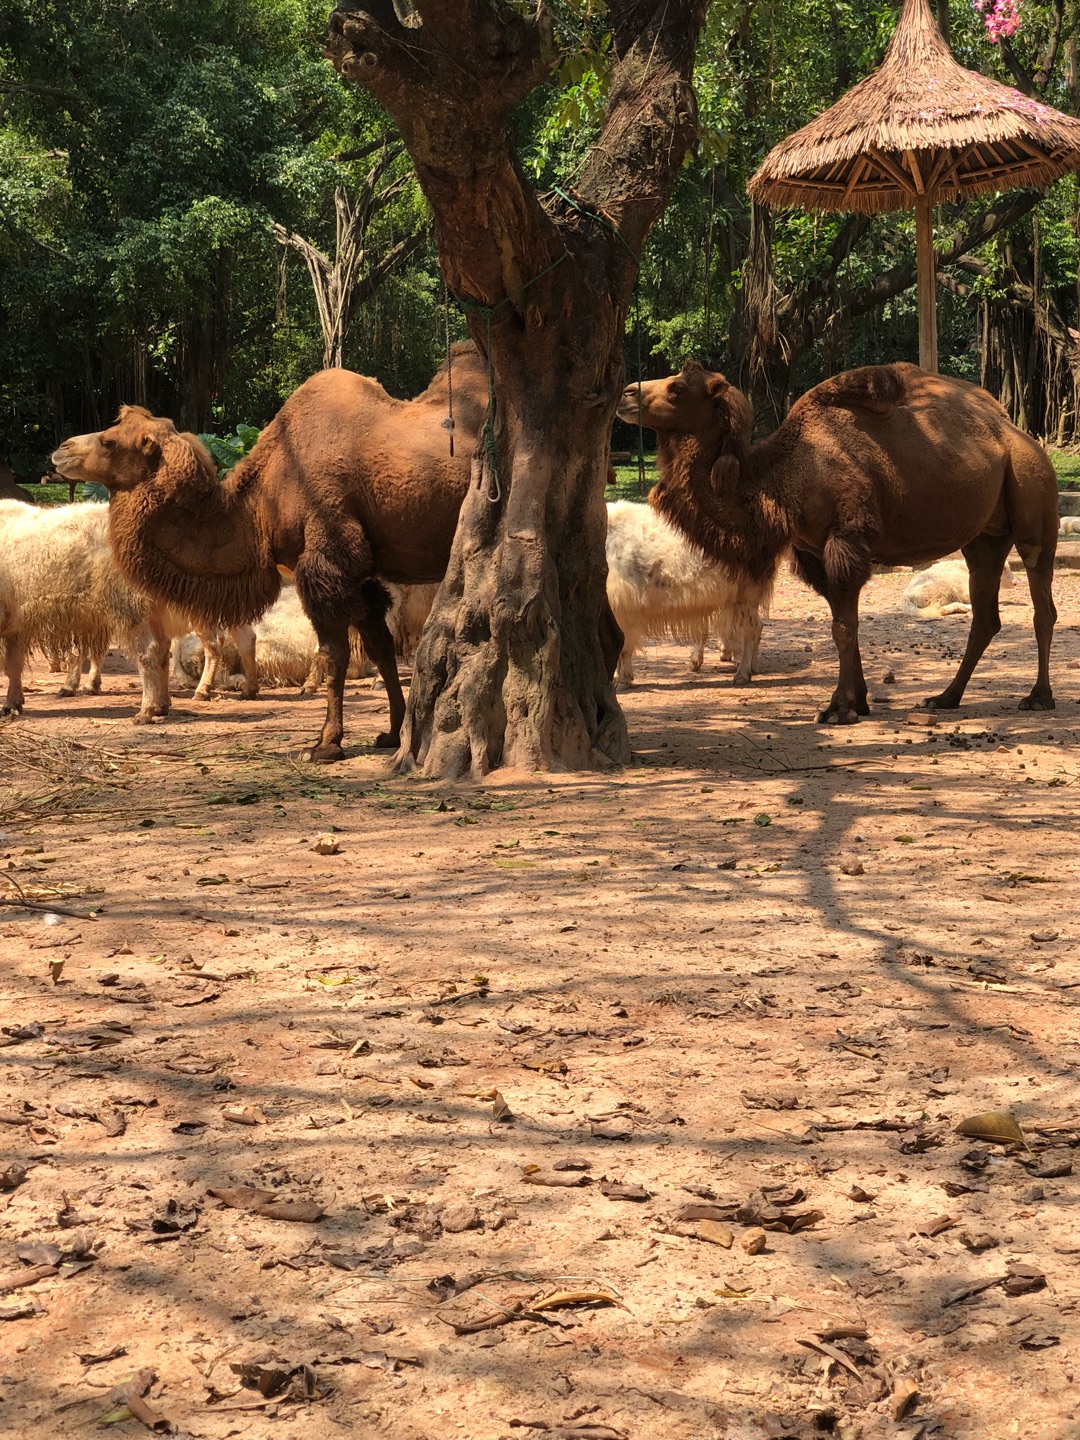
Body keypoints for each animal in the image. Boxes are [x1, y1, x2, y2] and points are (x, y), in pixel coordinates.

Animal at [0, 501, 256, 720]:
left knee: (157, 651)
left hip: (134, 606)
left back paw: (152, 708)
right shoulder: (15, 625)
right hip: (158, 609)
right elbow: (13, 666)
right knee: (221, 641)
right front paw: (13, 704)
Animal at [51, 347, 489, 760]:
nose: (60, 449)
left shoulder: (328, 559)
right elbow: (379, 645)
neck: (263, 501)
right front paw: (392, 734)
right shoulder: (361, 575)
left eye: (109, 441)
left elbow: (333, 654)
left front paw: (325, 744)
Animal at [604, 501, 771, 685]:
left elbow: (623, 647)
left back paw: (742, 674)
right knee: (756, 626)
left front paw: (623, 679)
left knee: (751, 629)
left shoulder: (623, 607)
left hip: (745, 594)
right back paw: (749, 667)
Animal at [622, 360, 1059, 720]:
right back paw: (945, 697)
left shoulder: (846, 539)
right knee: (986, 614)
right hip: (985, 537)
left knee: (1042, 600)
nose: (626, 393)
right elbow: (845, 622)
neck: (782, 477)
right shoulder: (813, 552)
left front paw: (839, 709)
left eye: (678, 387)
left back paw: (1038, 697)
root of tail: (1019, 436)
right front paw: (857, 701)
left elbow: (843, 627)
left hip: (1034, 500)